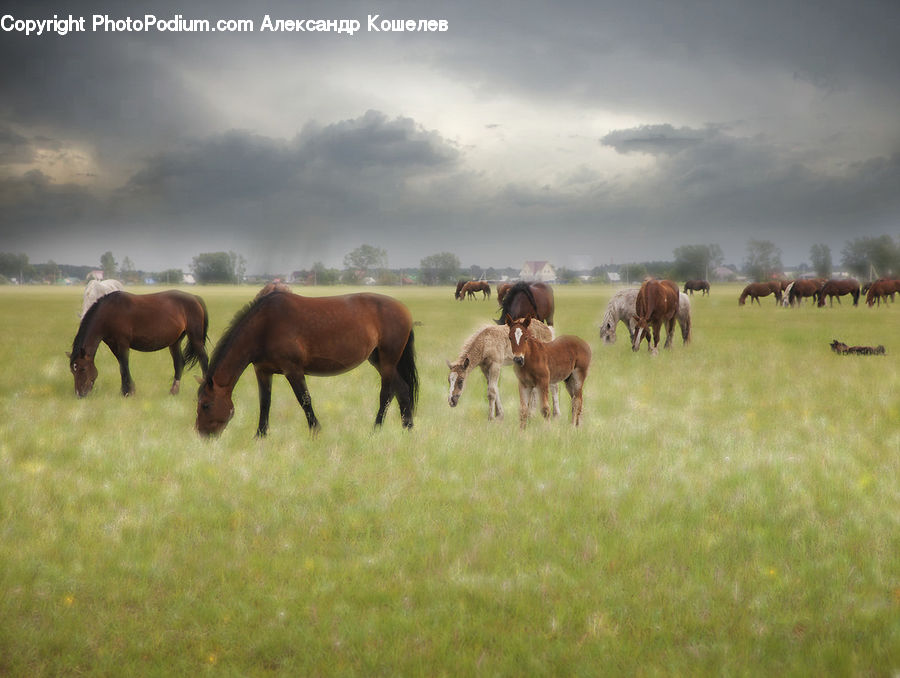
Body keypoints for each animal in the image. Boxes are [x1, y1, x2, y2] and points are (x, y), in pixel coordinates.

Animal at [67, 290, 209, 398]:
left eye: (83, 369)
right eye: (73, 371)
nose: (79, 394)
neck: (109, 312)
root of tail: (195, 298)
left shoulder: (123, 343)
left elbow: (124, 365)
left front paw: (127, 392)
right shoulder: (113, 345)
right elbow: (121, 366)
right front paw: (127, 390)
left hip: (195, 337)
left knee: (203, 359)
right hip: (174, 342)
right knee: (179, 363)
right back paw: (173, 391)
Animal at [194, 290, 418, 438]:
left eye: (206, 405)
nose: (202, 435)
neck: (265, 326)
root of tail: (405, 310)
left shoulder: (293, 370)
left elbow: (304, 400)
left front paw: (316, 431)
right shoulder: (263, 371)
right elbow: (265, 402)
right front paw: (260, 435)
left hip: (388, 360)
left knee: (386, 394)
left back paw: (376, 429)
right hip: (377, 359)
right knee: (403, 389)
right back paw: (407, 428)